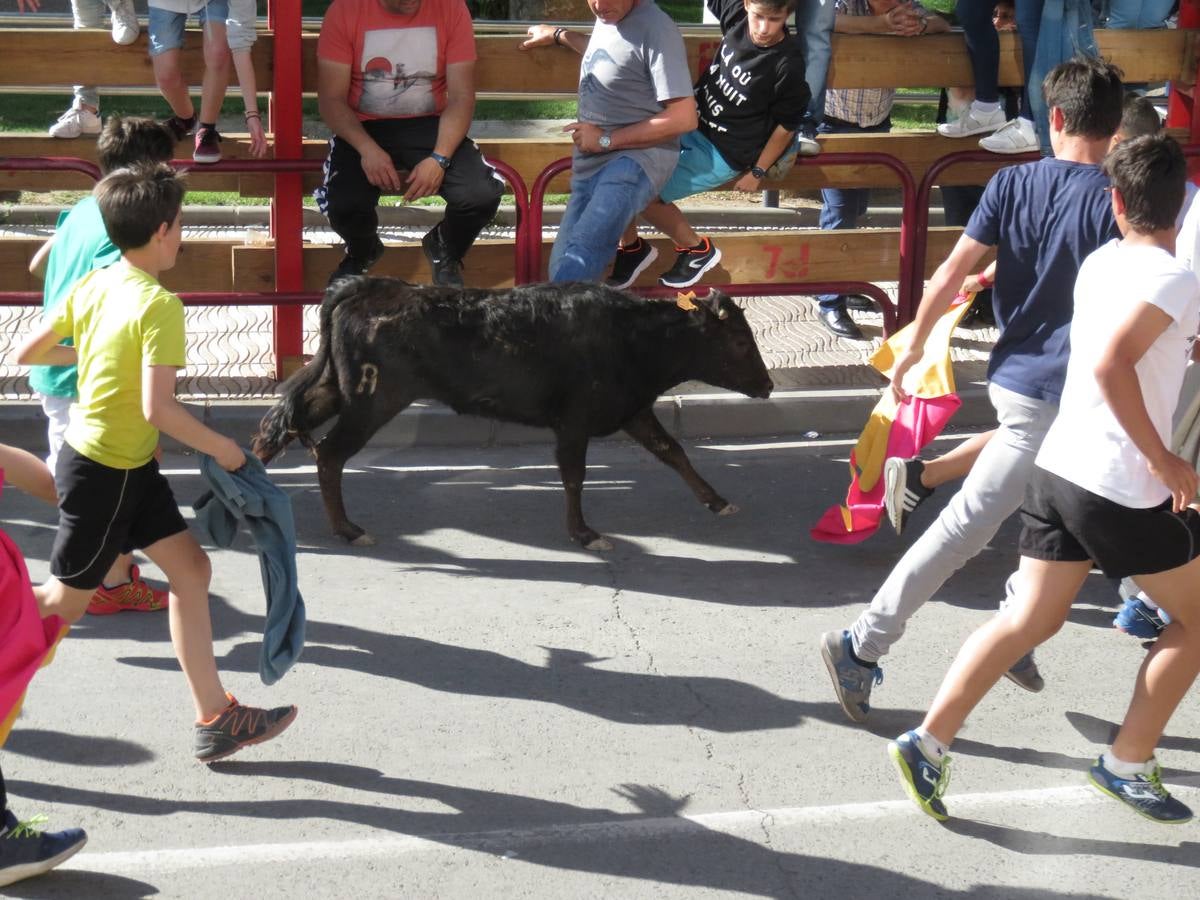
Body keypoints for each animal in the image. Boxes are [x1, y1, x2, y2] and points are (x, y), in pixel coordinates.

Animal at [255, 280, 777, 549]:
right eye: (739, 340)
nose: (768, 385)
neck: (633, 336)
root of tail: (366, 287)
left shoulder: (632, 410)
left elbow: (673, 451)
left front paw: (717, 500)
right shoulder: (575, 421)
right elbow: (574, 475)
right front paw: (584, 533)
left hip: (338, 390)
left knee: (278, 429)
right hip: (373, 400)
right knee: (329, 453)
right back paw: (347, 529)